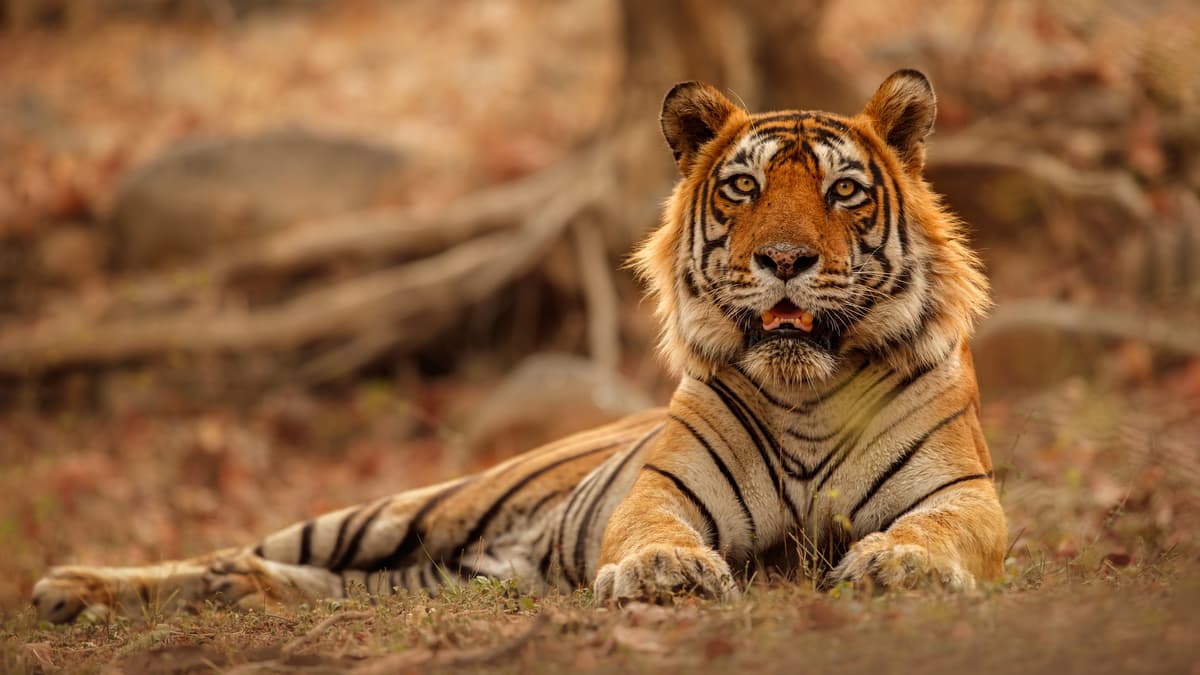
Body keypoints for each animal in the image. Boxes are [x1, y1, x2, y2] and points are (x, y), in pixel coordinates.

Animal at [32, 69, 1006, 623]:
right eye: (742, 187)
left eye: (843, 191)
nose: (785, 260)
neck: (805, 390)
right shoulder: (659, 490)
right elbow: (653, 527)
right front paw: (664, 570)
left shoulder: (966, 497)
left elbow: (937, 526)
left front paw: (902, 564)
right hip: (401, 510)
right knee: (236, 547)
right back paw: (76, 587)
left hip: (441, 571)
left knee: (317, 580)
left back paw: (239, 594)